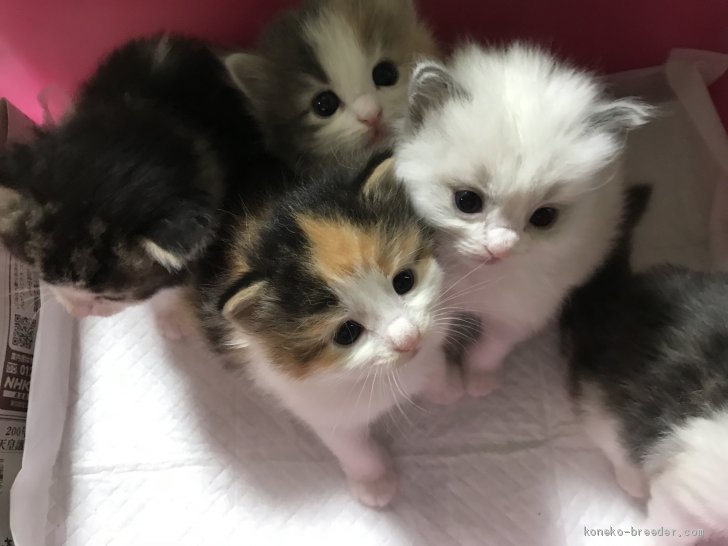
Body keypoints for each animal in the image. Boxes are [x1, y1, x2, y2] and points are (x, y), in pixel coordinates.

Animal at [193, 153, 461, 508]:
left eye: (404, 281)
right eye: (347, 333)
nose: (408, 339)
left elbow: (434, 362)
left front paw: (450, 385)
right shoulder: (317, 405)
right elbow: (351, 447)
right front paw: (373, 483)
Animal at [394, 43, 652, 395]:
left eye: (543, 217)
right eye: (467, 201)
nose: (499, 248)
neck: (477, 281)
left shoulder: (522, 311)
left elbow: (492, 347)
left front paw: (477, 380)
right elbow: (429, 359)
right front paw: (448, 390)